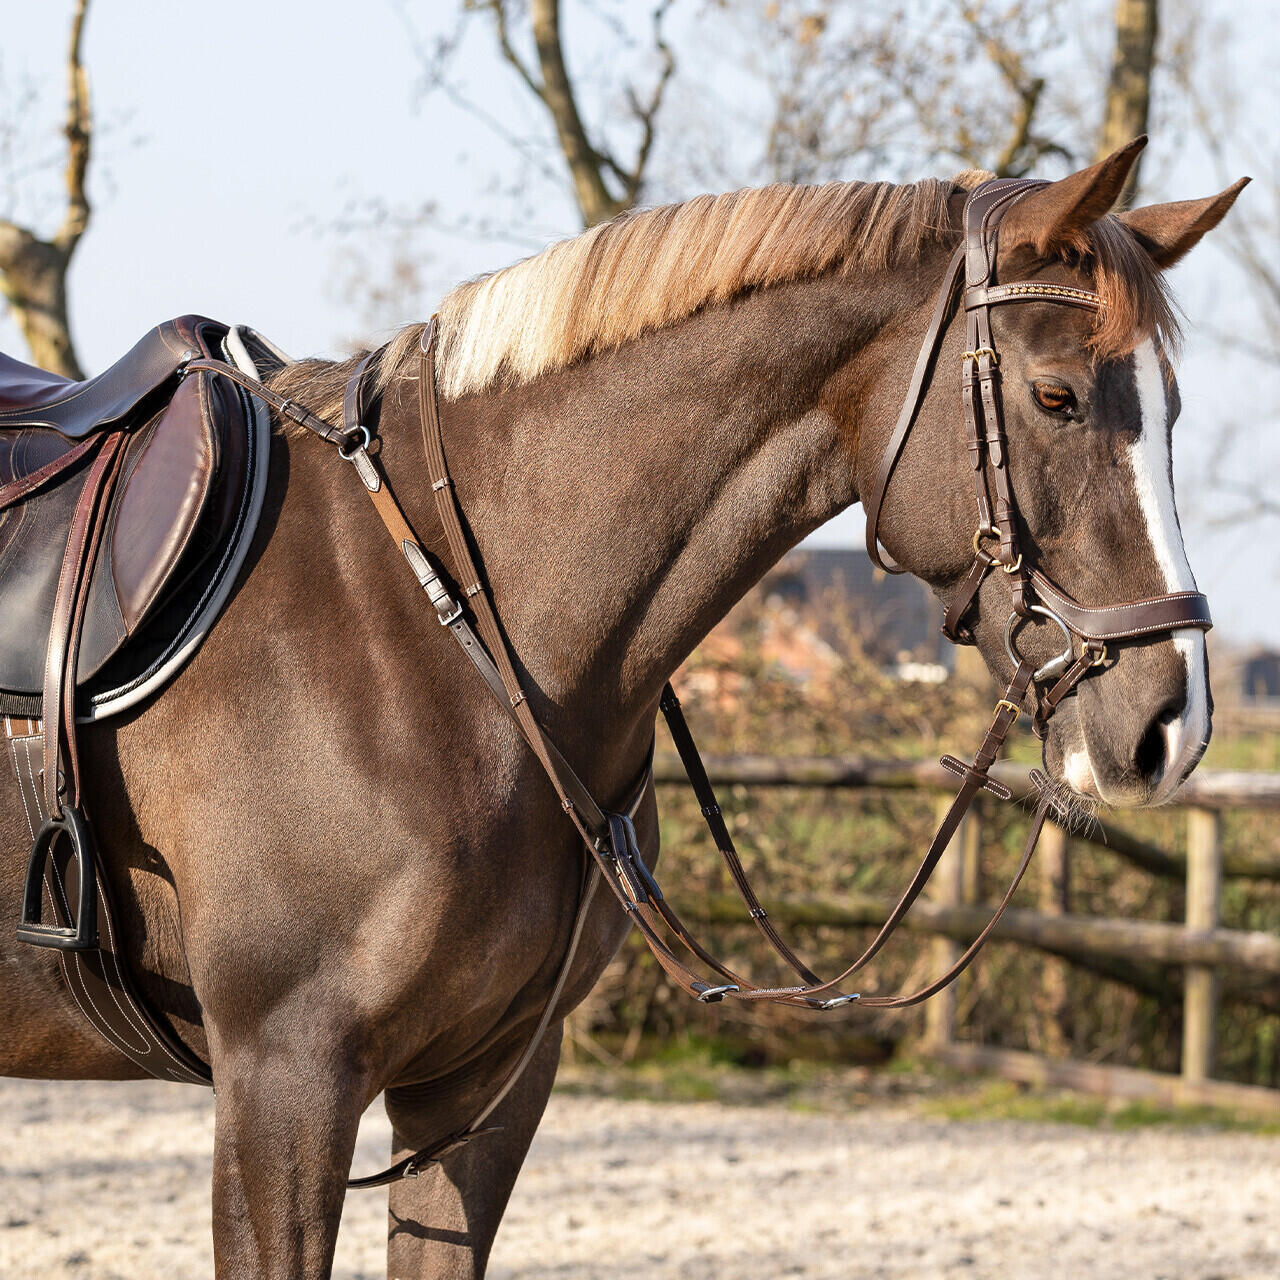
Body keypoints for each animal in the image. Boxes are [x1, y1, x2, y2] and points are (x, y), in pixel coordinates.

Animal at [0, 139, 1246, 1277]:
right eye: (1055, 396)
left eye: (1173, 408)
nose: (1167, 727)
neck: (436, 626)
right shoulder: (284, 1083)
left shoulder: (480, 1088)